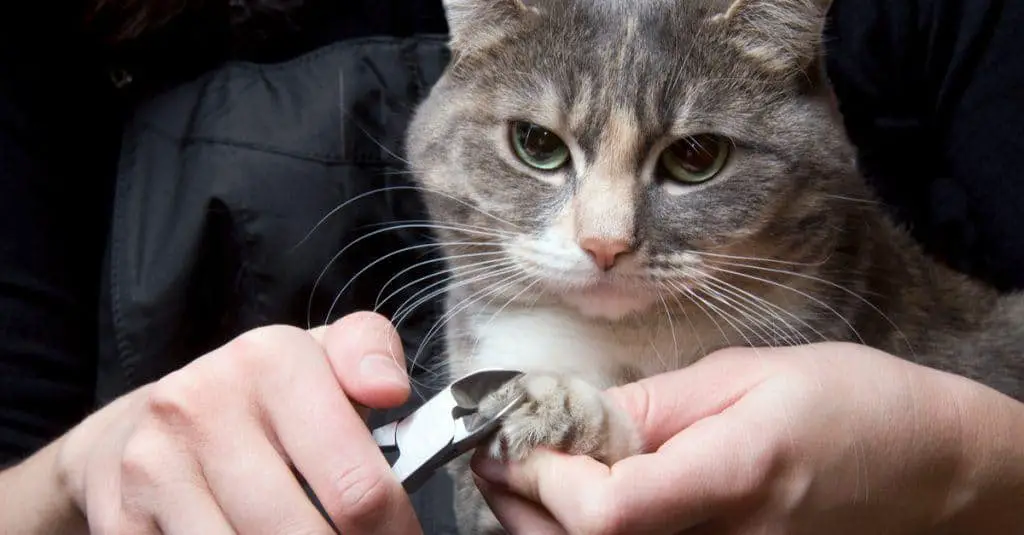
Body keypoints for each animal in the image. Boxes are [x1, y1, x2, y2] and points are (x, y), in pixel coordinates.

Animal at [403, 0, 1024, 528]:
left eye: (696, 156)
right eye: (536, 143)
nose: (605, 243)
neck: (630, 343)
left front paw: (558, 411)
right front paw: (555, 406)